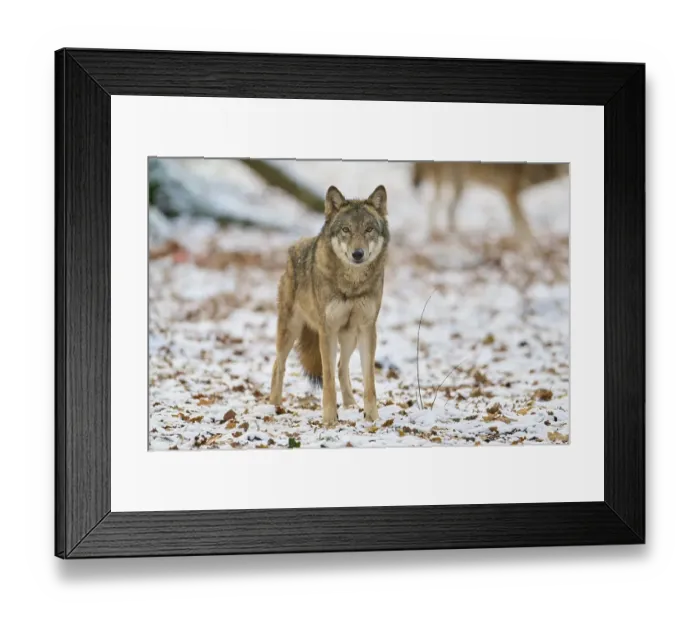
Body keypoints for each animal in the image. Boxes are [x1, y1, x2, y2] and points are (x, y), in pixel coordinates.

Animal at [269, 184, 390, 427]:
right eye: (346, 230)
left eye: (369, 229)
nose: (358, 253)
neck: (352, 283)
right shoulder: (327, 330)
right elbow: (327, 379)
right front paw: (329, 419)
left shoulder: (367, 329)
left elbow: (369, 380)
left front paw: (372, 417)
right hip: (290, 331)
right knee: (278, 365)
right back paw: (273, 405)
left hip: (350, 336)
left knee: (342, 367)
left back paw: (350, 404)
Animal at [411, 161, 569, 247]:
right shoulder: (510, 193)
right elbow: (523, 225)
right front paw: (529, 244)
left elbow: (520, 225)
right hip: (450, 185)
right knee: (434, 205)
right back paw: (434, 236)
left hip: (459, 188)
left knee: (449, 209)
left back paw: (454, 235)